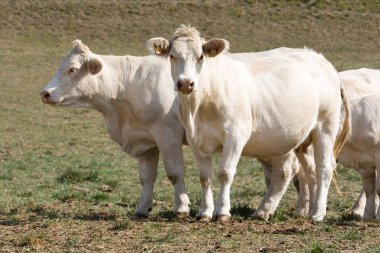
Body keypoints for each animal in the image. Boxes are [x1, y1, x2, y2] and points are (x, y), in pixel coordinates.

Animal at [40, 40, 191, 218]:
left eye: (73, 69)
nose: (45, 93)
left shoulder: (169, 135)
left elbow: (175, 173)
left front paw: (181, 208)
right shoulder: (146, 141)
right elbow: (146, 177)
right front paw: (142, 209)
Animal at [148, 25, 350, 222]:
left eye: (201, 56)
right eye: (172, 55)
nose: (185, 83)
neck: (201, 105)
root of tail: (319, 58)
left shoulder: (236, 136)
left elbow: (225, 173)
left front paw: (222, 212)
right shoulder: (195, 140)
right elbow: (205, 177)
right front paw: (204, 212)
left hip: (325, 127)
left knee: (324, 168)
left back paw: (318, 214)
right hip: (301, 138)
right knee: (305, 171)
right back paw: (285, 210)